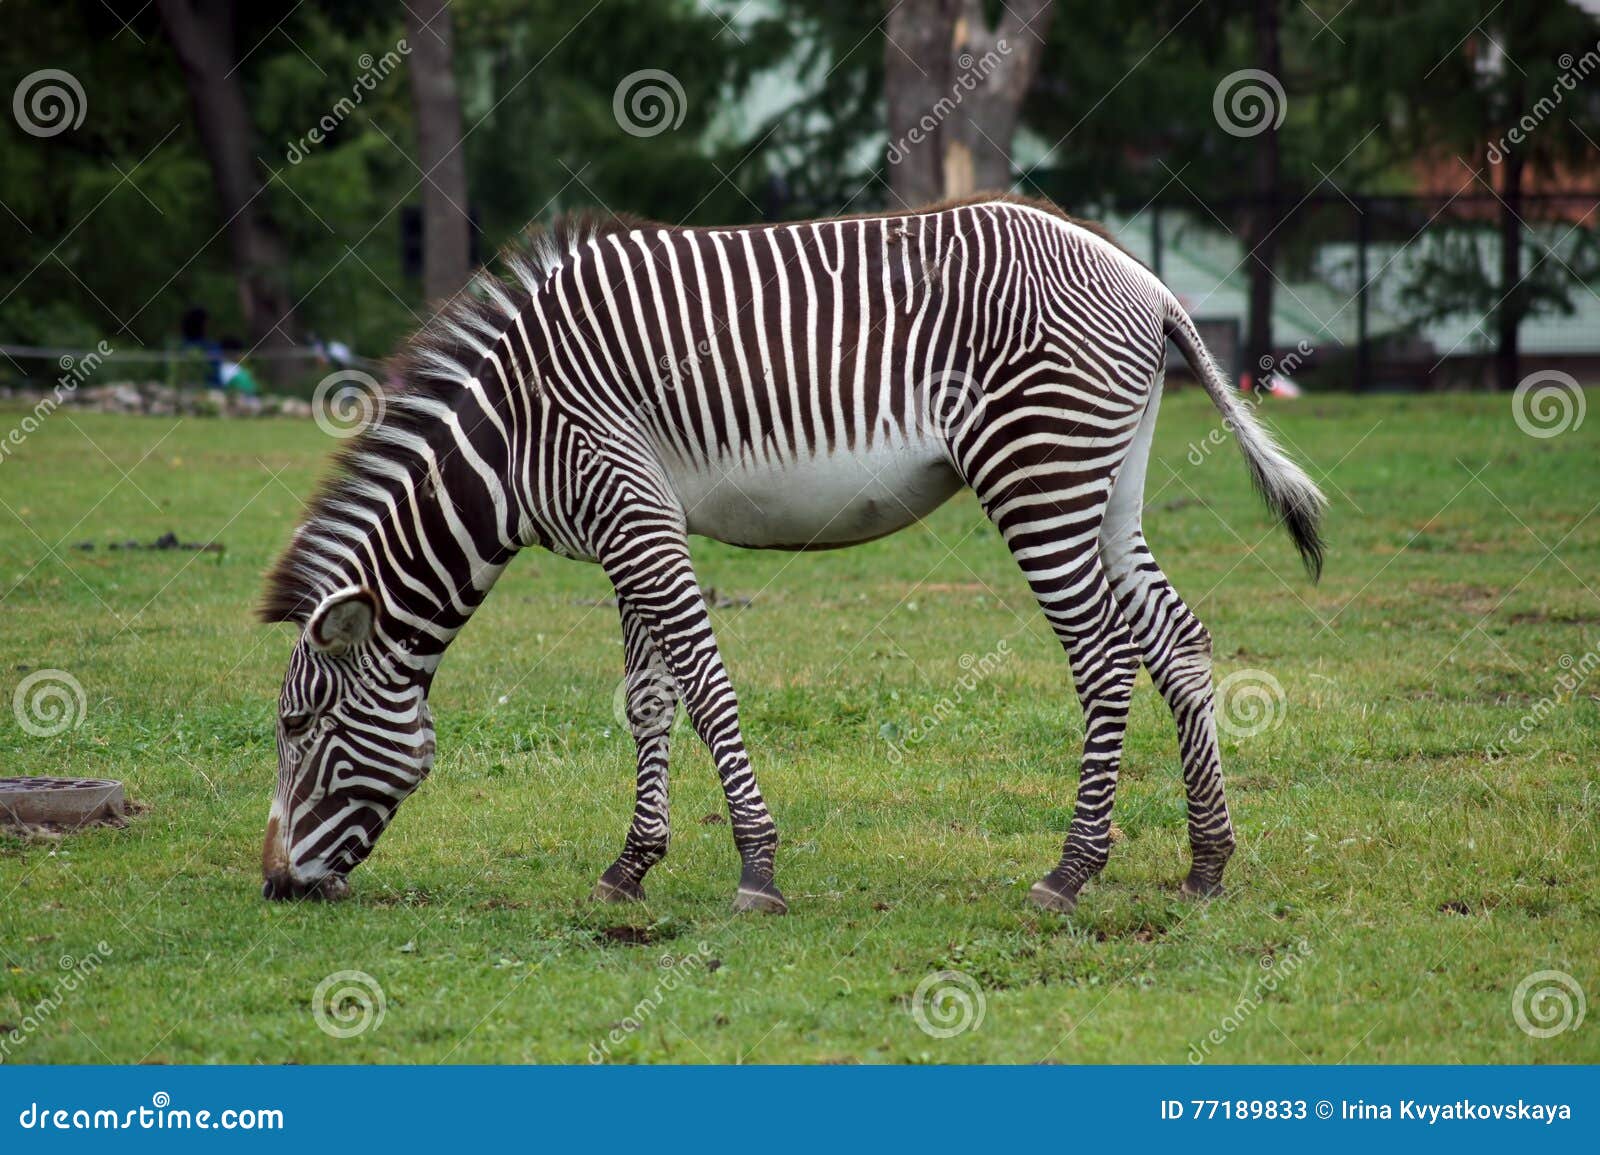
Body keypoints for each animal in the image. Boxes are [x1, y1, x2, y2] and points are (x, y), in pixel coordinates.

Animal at [258, 193, 1325, 914]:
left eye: (299, 726)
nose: (274, 885)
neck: (511, 435)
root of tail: (1144, 278)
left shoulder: (630, 509)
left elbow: (704, 684)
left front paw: (758, 868)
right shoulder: (630, 525)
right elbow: (650, 698)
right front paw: (631, 866)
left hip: (1037, 473)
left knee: (1104, 661)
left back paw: (1071, 870)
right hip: (1107, 483)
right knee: (1178, 641)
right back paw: (1207, 862)